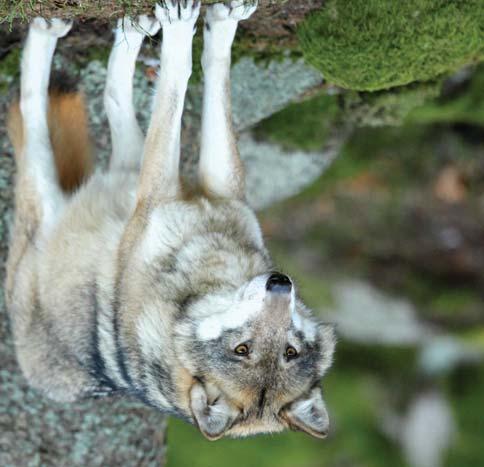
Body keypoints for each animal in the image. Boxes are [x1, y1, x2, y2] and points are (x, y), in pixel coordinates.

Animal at [4, 0, 336, 440]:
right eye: (243, 350)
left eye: (288, 350)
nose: (280, 284)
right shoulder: (217, 185)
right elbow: (207, 73)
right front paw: (220, 23)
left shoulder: (159, 191)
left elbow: (175, 87)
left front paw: (184, 28)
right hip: (116, 180)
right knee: (112, 99)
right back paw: (129, 29)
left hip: (58, 198)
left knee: (37, 106)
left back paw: (53, 32)